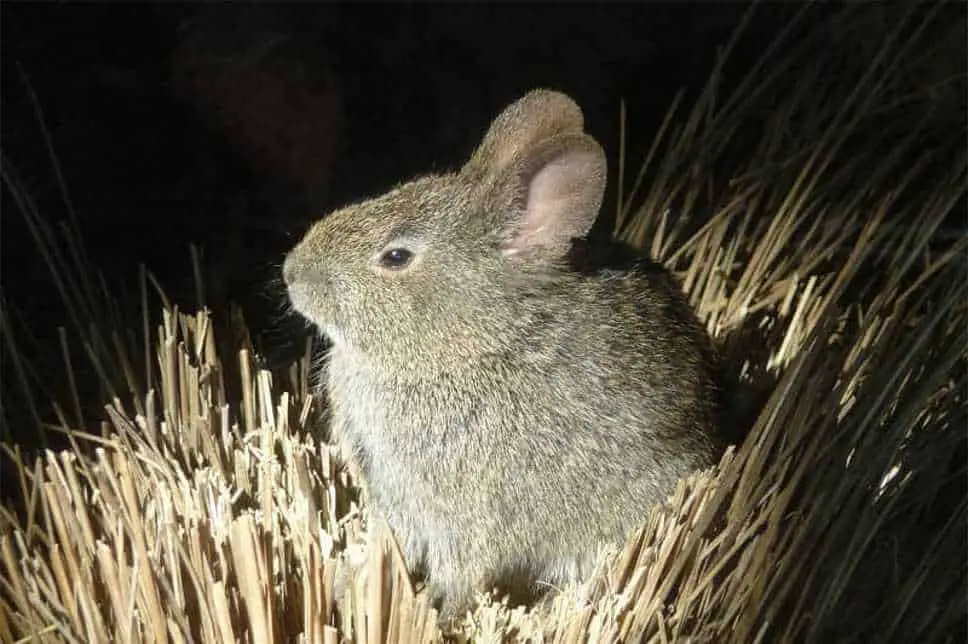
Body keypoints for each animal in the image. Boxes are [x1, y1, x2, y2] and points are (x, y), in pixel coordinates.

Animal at [284, 88, 724, 620]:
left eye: (396, 257)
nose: (290, 273)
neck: (469, 347)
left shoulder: (468, 516)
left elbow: (460, 573)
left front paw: (437, 613)